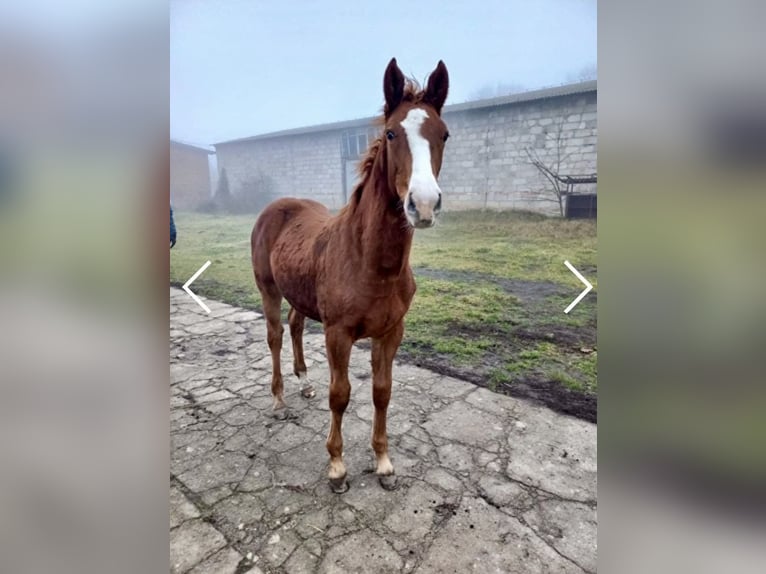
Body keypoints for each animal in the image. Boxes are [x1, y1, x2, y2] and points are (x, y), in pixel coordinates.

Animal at [249, 56, 452, 492]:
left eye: (444, 134)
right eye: (391, 133)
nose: (424, 204)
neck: (371, 263)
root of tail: (277, 206)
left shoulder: (391, 331)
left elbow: (382, 392)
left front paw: (383, 462)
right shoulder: (338, 333)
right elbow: (340, 394)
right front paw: (337, 466)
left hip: (301, 293)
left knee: (295, 325)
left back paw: (304, 383)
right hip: (268, 290)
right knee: (275, 335)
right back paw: (279, 400)